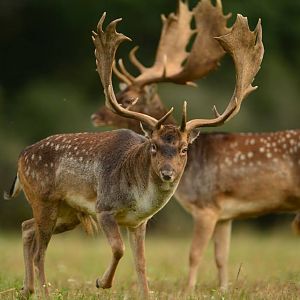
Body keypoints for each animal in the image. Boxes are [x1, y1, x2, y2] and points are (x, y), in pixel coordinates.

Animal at [2, 9, 262, 298]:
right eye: (153, 146)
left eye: (184, 148)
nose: (167, 173)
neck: (139, 197)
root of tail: (22, 156)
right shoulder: (104, 207)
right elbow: (118, 249)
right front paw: (101, 282)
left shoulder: (139, 222)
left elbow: (142, 263)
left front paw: (142, 292)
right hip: (44, 199)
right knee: (40, 250)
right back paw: (43, 292)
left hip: (68, 212)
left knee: (26, 228)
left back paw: (26, 288)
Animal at [89, 0, 288, 292]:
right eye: (121, 92)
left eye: (128, 98)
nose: (95, 115)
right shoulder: (225, 215)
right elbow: (221, 257)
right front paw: (223, 289)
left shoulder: (206, 208)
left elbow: (194, 254)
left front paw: (187, 290)